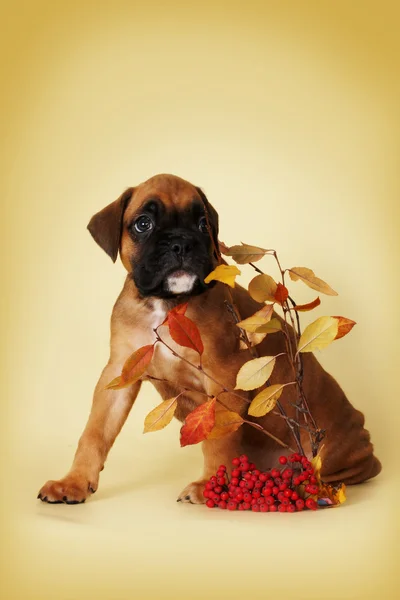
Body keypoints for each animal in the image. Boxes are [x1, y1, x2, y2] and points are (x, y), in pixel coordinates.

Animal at [37, 175, 382, 506]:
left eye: (203, 224)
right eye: (143, 224)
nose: (181, 243)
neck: (167, 305)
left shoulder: (224, 379)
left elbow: (219, 438)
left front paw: (207, 485)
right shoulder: (119, 375)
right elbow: (94, 433)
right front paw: (74, 482)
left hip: (330, 448)